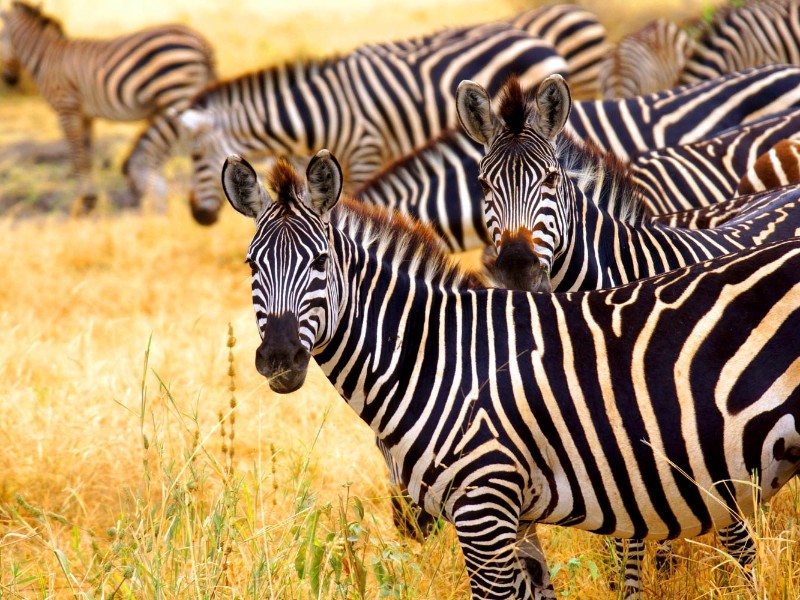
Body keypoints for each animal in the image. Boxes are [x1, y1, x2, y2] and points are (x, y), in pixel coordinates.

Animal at [0, 1, 216, 214]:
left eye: (2, 37)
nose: (10, 80)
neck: (45, 55)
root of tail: (201, 42)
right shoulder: (85, 115)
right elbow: (87, 155)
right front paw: (91, 199)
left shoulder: (66, 108)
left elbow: (77, 156)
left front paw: (85, 203)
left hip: (177, 94)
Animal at [222, 148, 800, 600]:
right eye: (251, 265)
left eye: (320, 262)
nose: (279, 357)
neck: (438, 358)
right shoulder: (517, 519)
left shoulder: (484, 506)